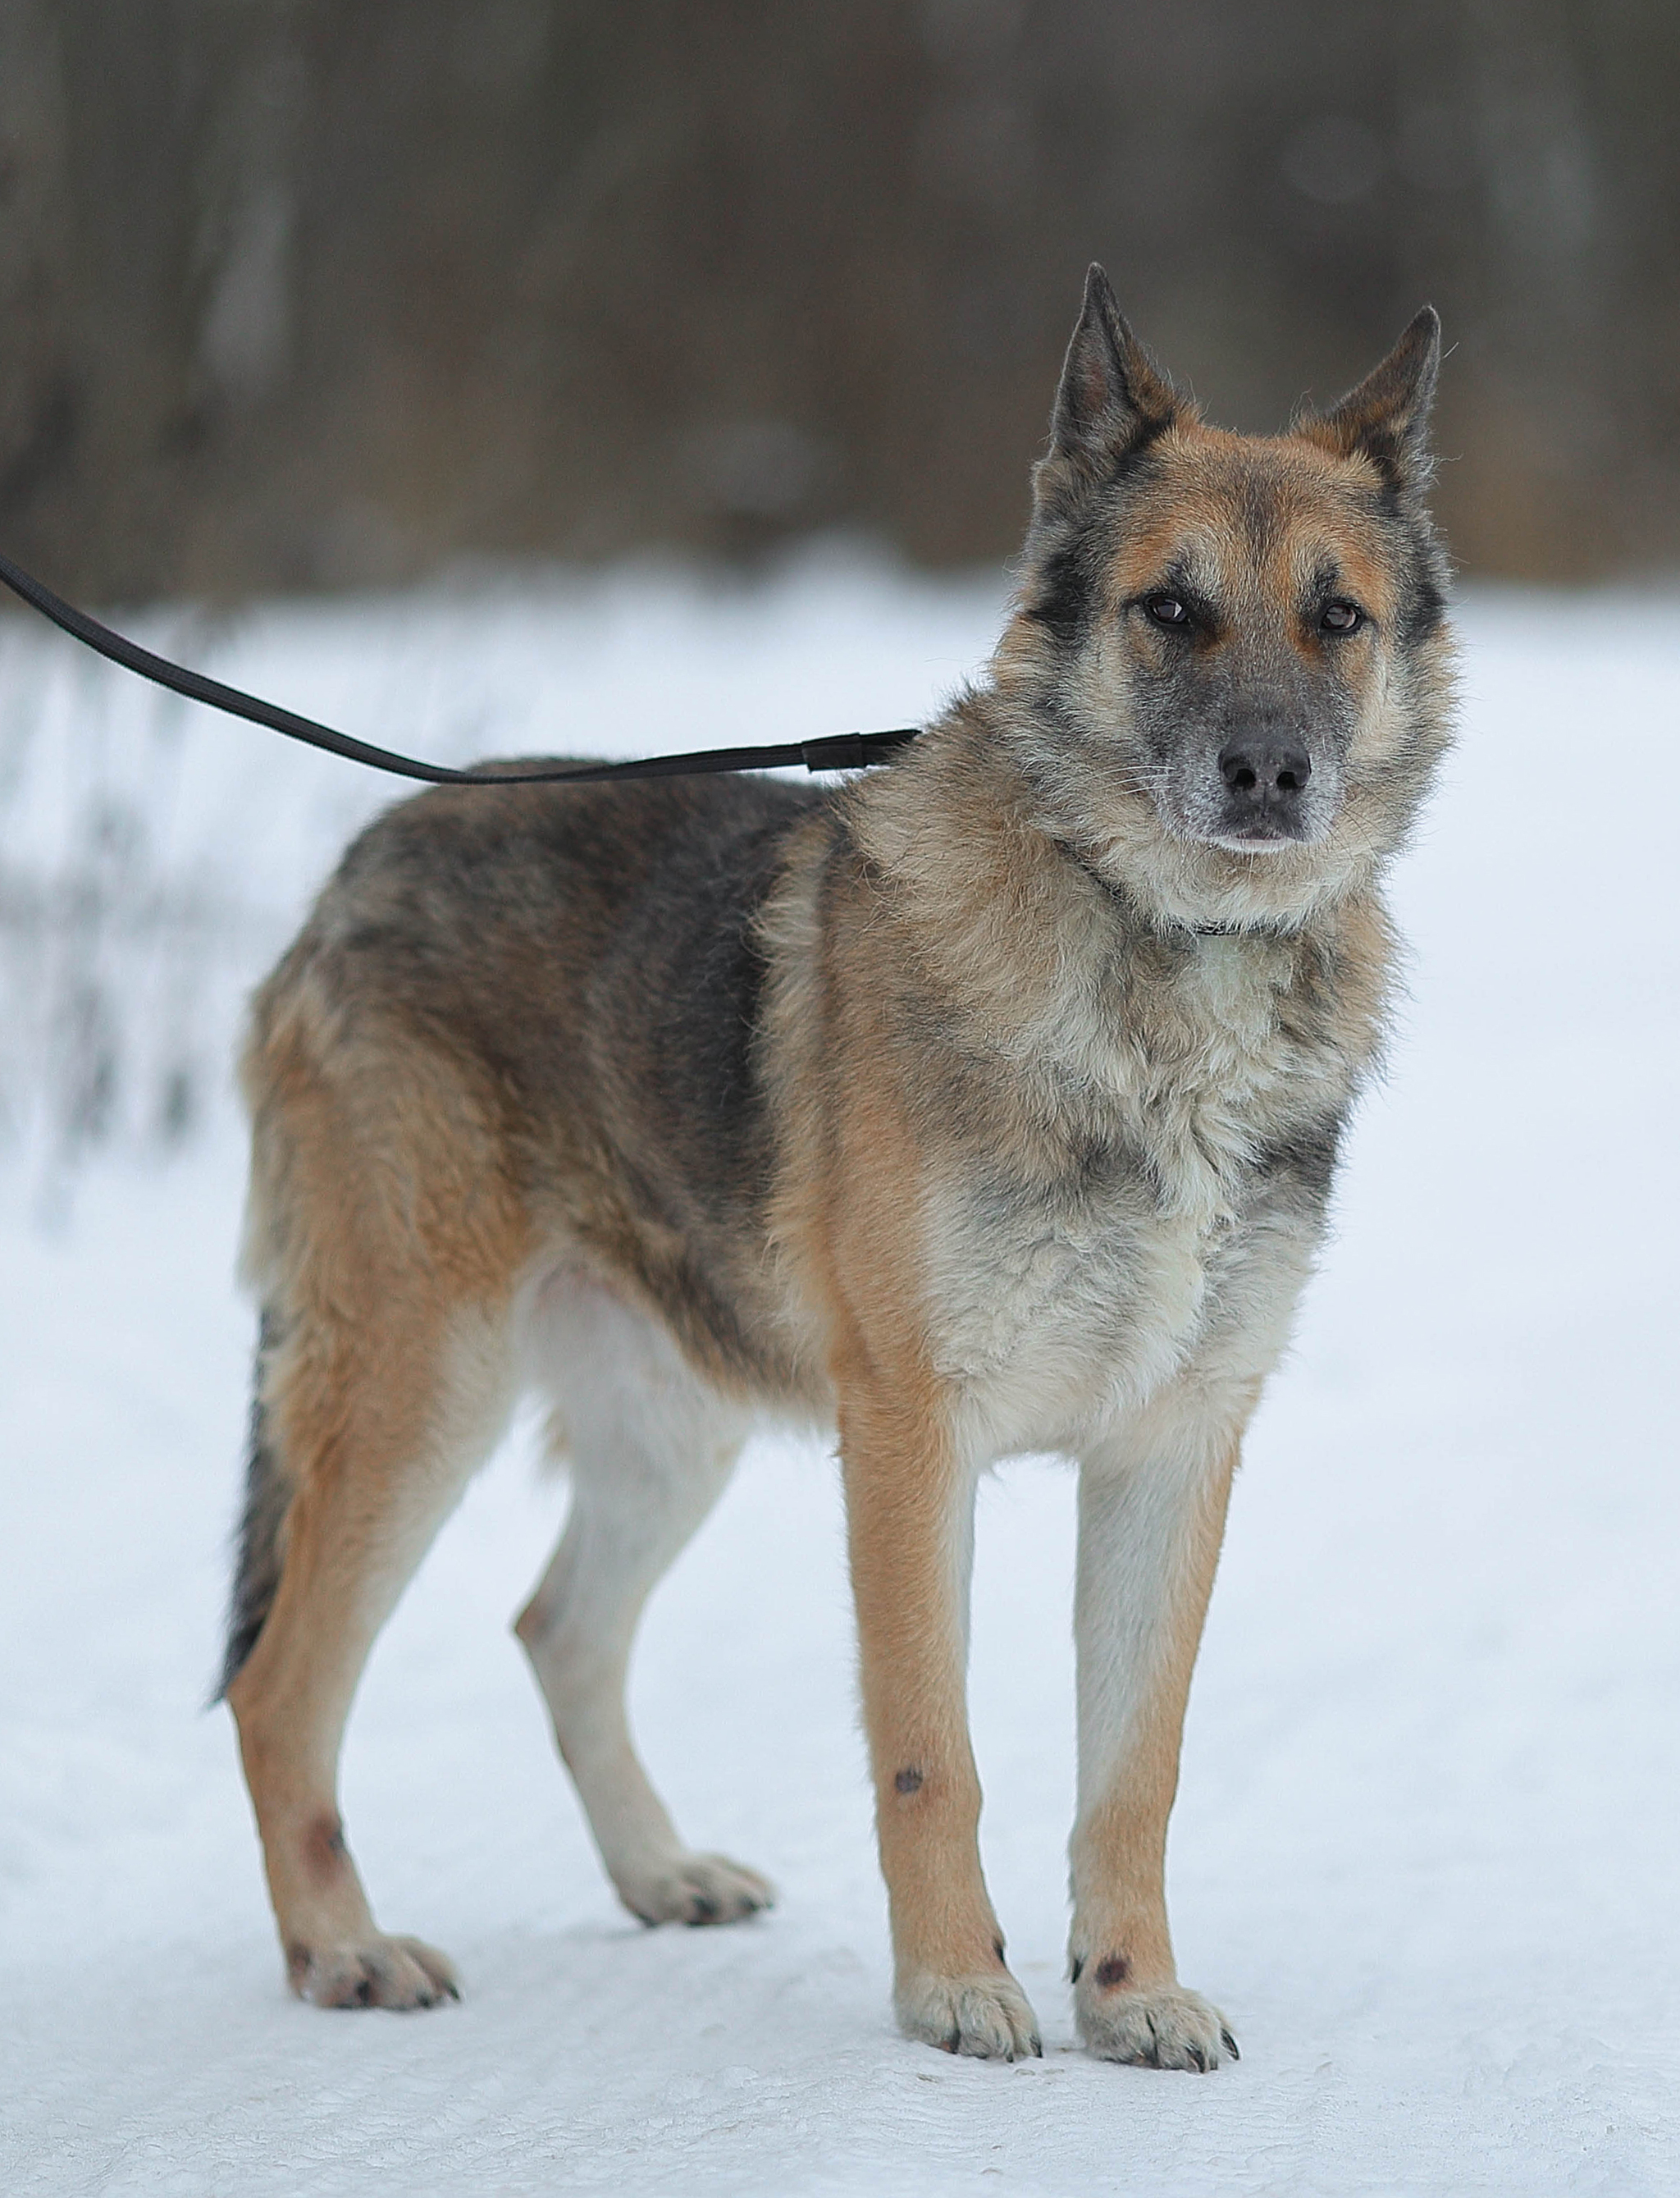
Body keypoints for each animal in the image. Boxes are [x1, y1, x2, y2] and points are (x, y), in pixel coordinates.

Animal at [220, 266, 1459, 2066]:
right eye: (1170, 610)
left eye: (1335, 618)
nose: (1267, 774)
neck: (1161, 964)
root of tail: (363, 860)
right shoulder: (910, 1437)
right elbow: (930, 1750)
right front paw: (954, 1985)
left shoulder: (1172, 1448)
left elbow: (1132, 1772)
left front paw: (1129, 1991)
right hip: (419, 1393)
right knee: (281, 1684)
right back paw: (341, 1947)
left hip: (670, 1424)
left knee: (556, 1630)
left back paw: (656, 1872)